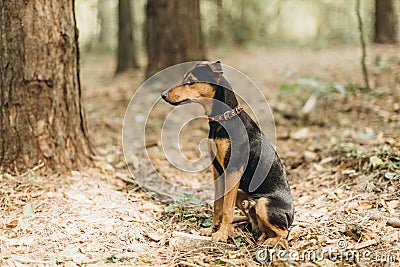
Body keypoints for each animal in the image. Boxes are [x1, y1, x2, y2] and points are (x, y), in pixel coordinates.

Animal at [161, 61, 296, 249]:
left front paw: (221, 235)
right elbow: (218, 205)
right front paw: (212, 229)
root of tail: (291, 215)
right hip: (241, 194)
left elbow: (226, 209)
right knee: (259, 225)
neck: (223, 119)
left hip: (264, 203)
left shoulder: (233, 170)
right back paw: (259, 236)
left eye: (190, 82)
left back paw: (270, 241)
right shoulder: (217, 170)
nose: (163, 95)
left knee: (285, 232)